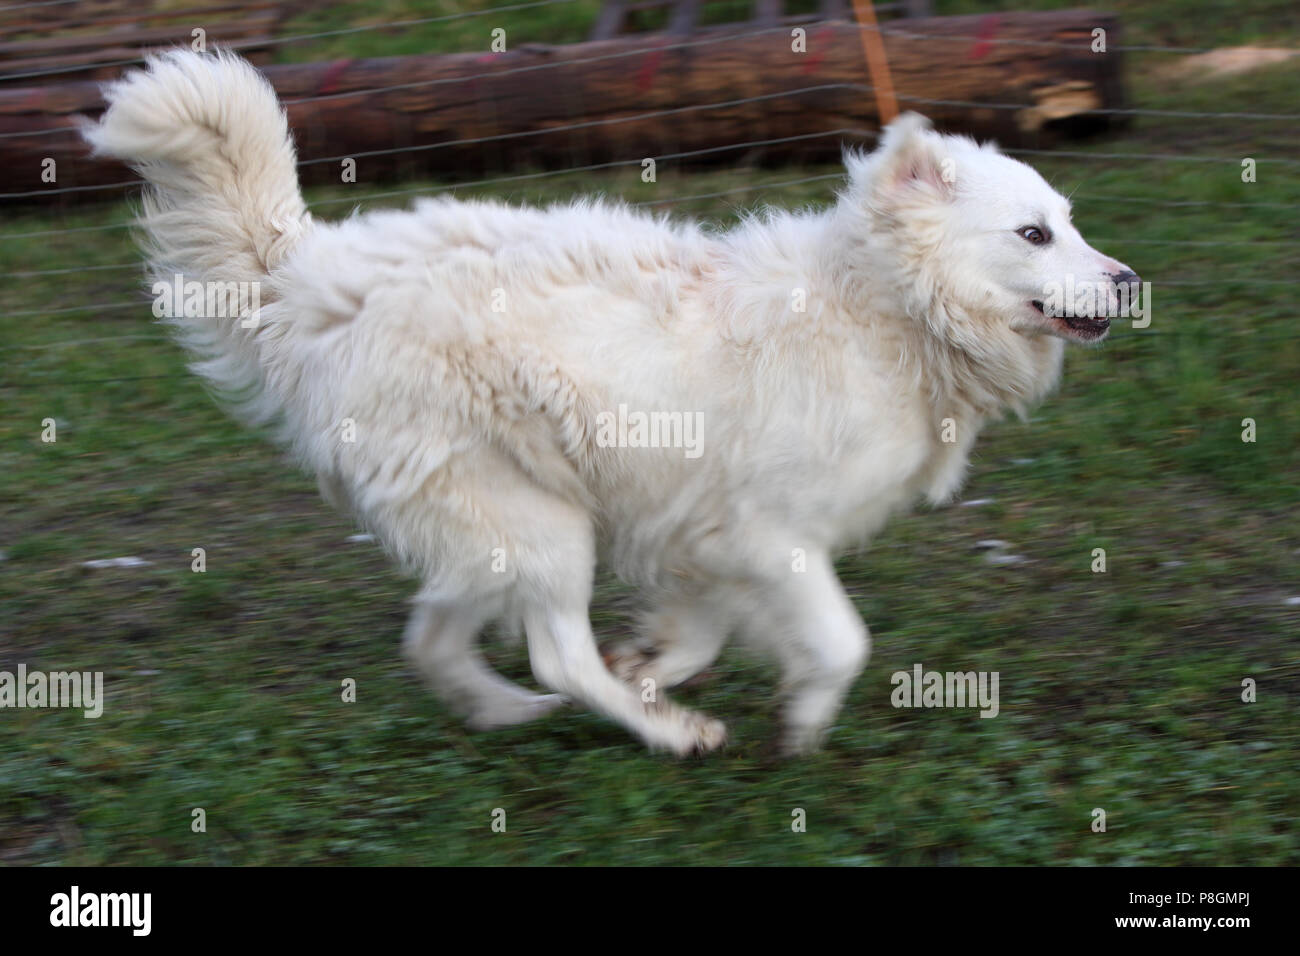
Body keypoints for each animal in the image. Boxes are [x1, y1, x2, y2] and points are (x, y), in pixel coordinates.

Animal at [83, 50, 1138, 754]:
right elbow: (842, 641)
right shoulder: (770, 533)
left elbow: (701, 627)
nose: (1130, 282)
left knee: (434, 636)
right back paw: (668, 733)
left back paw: (511, 712)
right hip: (541, 524)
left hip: (497, 524)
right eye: (1035, 234)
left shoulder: (703, 529)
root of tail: (309, 274)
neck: (882, 306)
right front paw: (796, 724)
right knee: (552, 652)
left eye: (1072, 222)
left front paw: (656, 664)